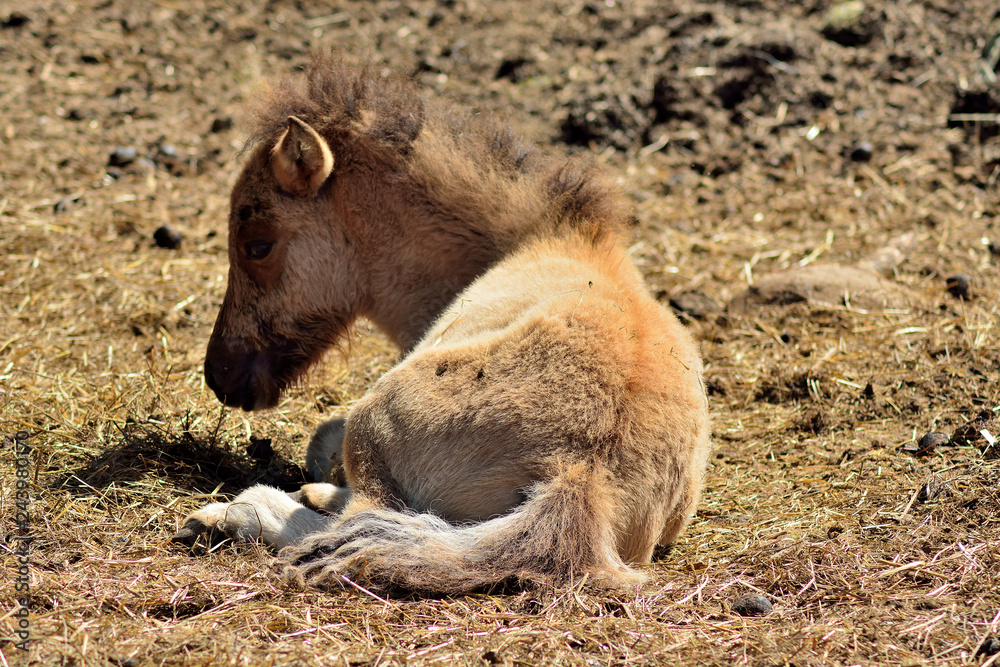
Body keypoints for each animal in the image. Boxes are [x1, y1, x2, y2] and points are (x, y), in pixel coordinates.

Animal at [173, 55, 711, 593]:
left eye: (257, 244)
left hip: (375, 416)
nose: (222, 375)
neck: (544, 239)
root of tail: (579, 477)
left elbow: (325, 441)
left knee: (358, 517)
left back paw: (234, 514)